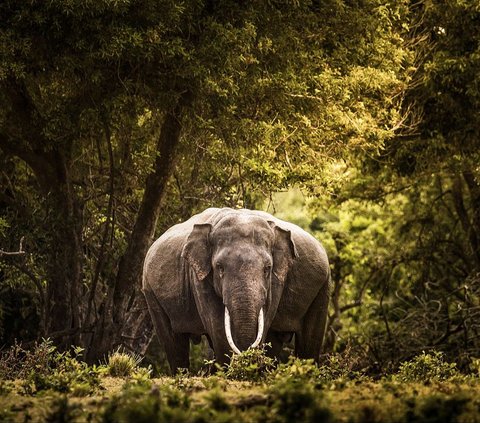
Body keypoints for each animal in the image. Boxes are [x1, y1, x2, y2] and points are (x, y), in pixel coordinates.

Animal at [142, 207, 330, 372]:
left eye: (267, 268)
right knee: (172, 341)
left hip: (323, 284)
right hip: (150, 290)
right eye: (219, 267)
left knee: (310, 337)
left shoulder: (278, 278)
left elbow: (266, 315)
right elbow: (217, 324)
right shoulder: (197, 276)